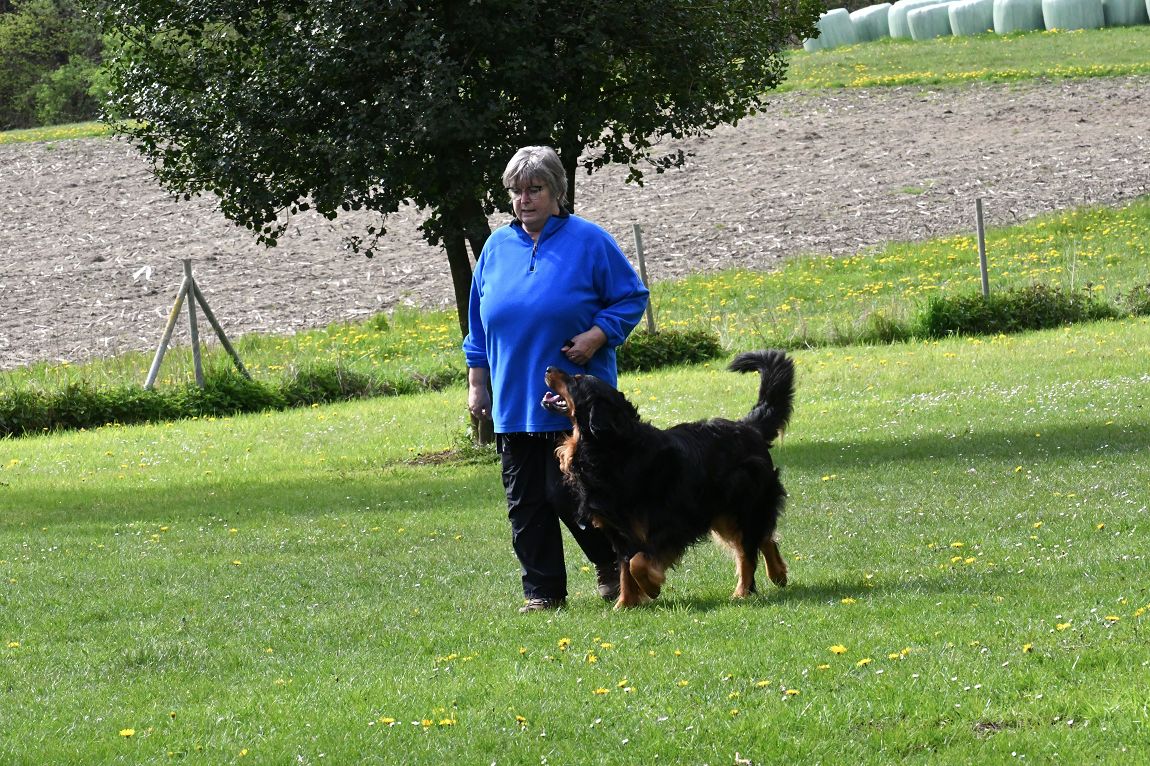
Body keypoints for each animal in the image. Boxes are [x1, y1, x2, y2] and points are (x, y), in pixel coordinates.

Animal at [542, 349, 795, 607]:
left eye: (576, 379)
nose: (549, 368)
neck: (610, 449)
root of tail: (750, 428)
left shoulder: (670, 524)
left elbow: (637, 563)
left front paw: (651, 587)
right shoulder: (619, 533)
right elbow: (625, 568)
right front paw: (624, 604)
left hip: (741, 504)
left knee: (748, 550)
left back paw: (742, 591)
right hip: (722, 513)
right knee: (763, 538)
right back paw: (777, 574)